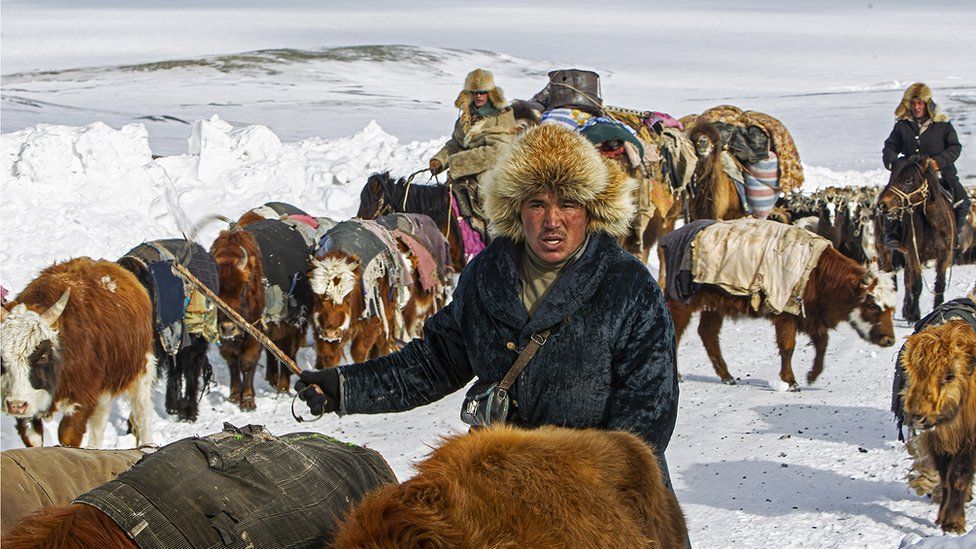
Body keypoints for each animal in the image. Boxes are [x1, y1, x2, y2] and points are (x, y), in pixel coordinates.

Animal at [660, 218, 896, 390]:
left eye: (892, 309)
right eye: (873, 306)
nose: (890, 340)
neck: (819, 273)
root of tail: (672, 237)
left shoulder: (810, 316)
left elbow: (822, 343)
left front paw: (812, 375)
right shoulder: (786, 314)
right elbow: (788, 347)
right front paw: (790, 381)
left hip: (714, 305)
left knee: (708, 333)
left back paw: (727, 376)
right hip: (681, 301)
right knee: (677, 332)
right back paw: (679, 374)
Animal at [876, 156, 952, 322]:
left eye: (909, 180)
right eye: (892, 177)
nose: (883, 205)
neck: (934, 224)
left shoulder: (945, 256)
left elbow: (940, 285)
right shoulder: (915, 255)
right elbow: (917, 286)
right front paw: (915, 315)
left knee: (906, 279)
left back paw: (906, 310)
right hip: (886, 252)